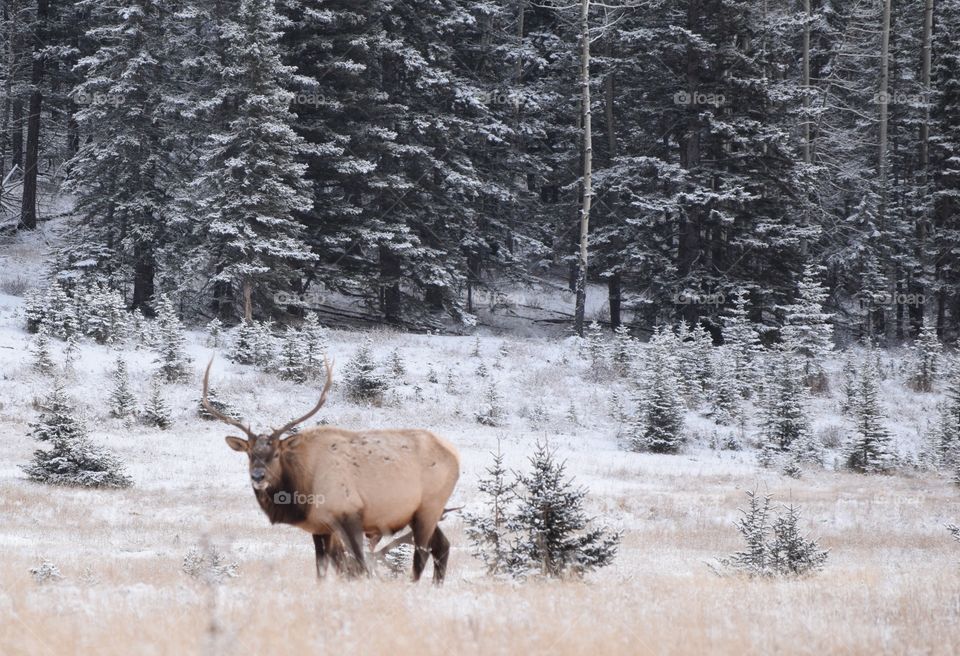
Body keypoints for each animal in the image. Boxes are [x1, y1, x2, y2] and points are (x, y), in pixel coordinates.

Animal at [202, 357, 460, 584]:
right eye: (249, 454)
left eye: (276, 454)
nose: (258, 476)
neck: (303, 491)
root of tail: (455, 455)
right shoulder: (320, 527)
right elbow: (322, 569)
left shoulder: (350, 514)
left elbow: (359, 566)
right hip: (423, 513)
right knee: (443, 546)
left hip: (429, 507)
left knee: (422, 552)